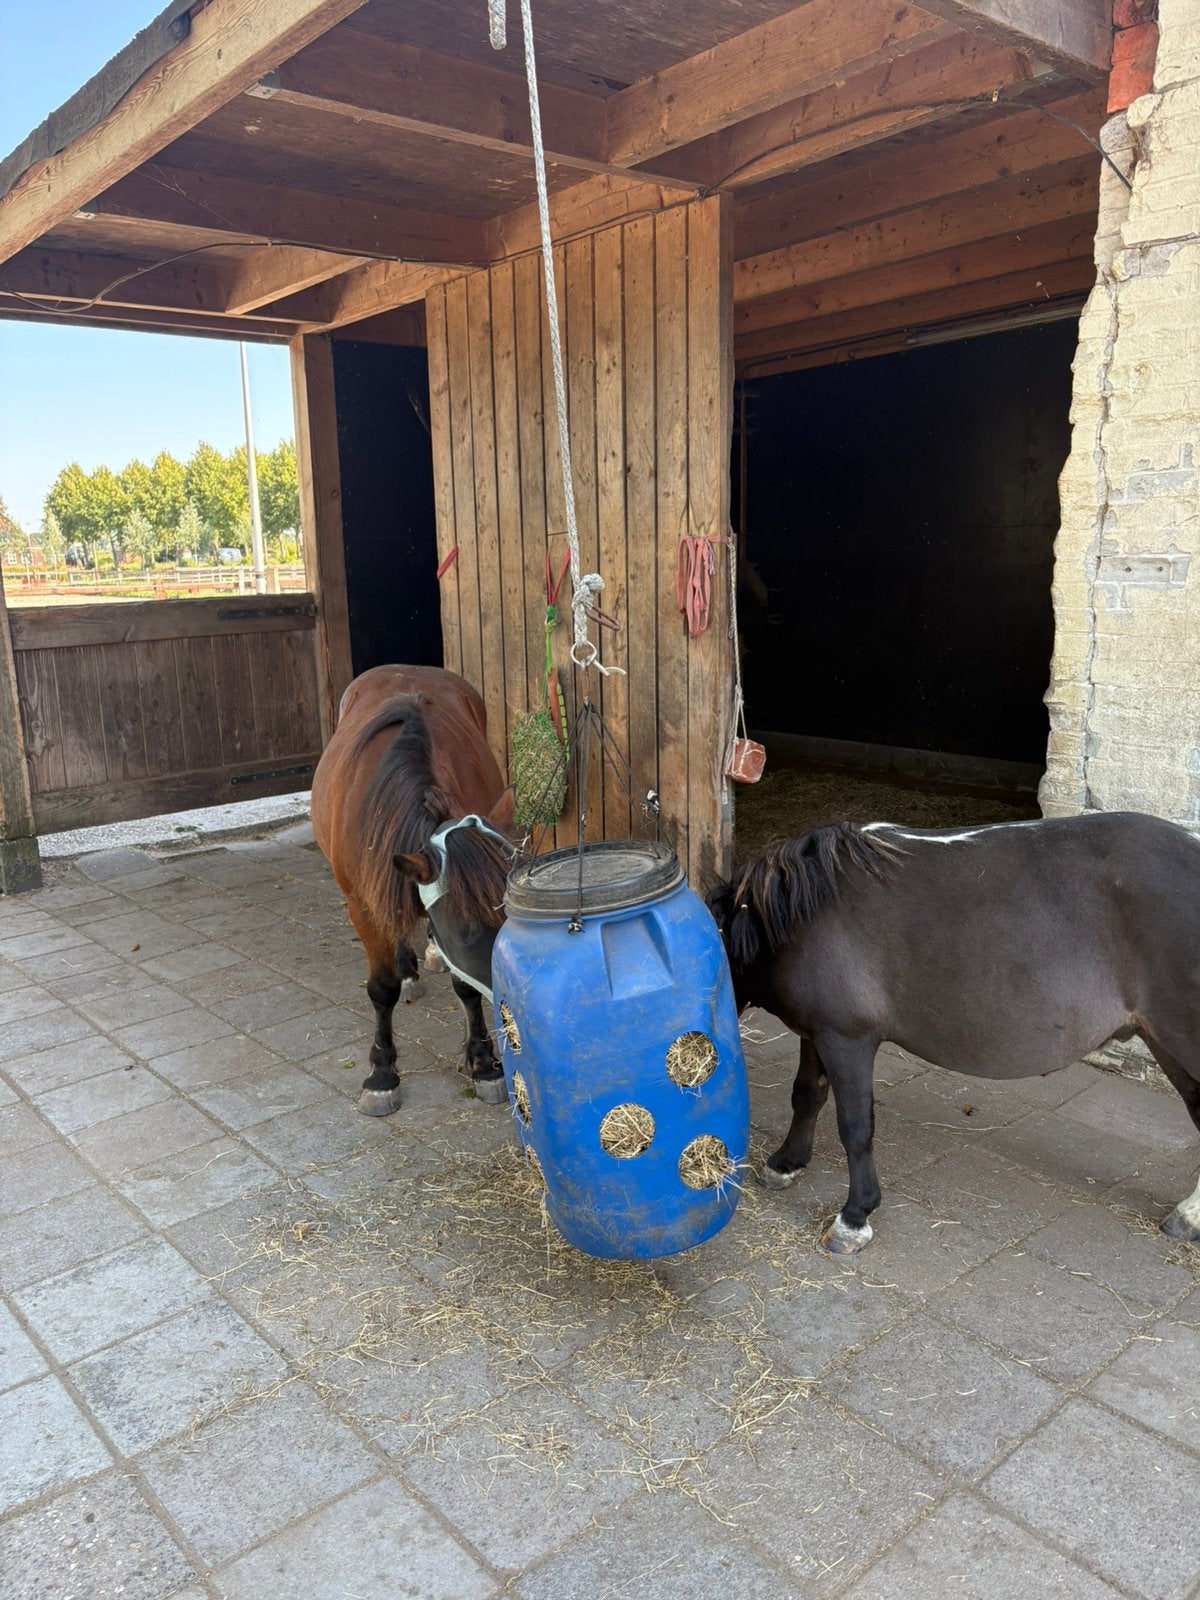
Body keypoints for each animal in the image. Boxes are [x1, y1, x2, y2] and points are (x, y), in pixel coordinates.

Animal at [311, 665, 516, 1116]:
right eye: (468, 935)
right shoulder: (362, 905)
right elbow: (381, 988)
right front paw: (382, 1074)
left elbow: (464, 987)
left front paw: (483, 1062)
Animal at [707, 811, 1200, 1255]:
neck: (801, 913)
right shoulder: (816, 1033)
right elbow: (807, 1095)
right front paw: (785, 1166)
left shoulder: (846, 1039)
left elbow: (856, 1127)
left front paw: (854, 1218)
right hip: (1168, 1045)